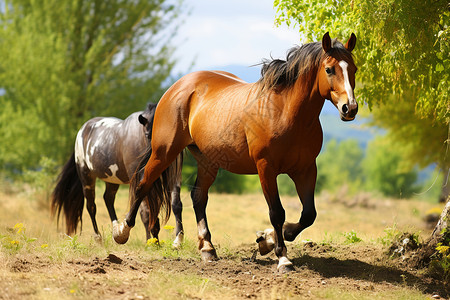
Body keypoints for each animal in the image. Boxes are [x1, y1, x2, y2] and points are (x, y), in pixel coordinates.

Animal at [113, 32, 358, 272]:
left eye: (354, 69)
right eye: (329, 69)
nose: (350, 108)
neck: (285, 112)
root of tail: (178, 87)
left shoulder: (306, 169)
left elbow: (308, 214)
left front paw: (268, 239)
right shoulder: (266, 168)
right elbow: (277, 213)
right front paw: (282, 258)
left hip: (207, 161)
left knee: (198, 197)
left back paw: (208, 249)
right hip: (164, 152)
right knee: (143, 184)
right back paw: (121, 232)